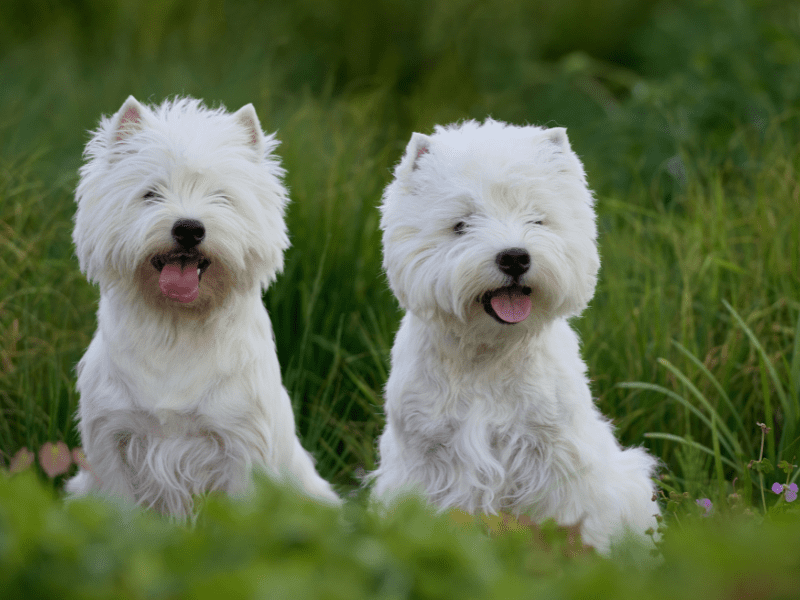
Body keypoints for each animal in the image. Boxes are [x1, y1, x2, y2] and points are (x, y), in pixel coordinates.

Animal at [64, 95, 336, 516]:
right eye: (151, 193)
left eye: (222, 196)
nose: (189, 229)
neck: (176, 327)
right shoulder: (112, 435)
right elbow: (121, 511)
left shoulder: (240, 442)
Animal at [372, 118, 660, 552]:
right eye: (461, 224)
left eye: (537, 219)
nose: (514, 257)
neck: (488, 352)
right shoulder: (427, 458)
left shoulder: (554, 456)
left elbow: (564, 520)